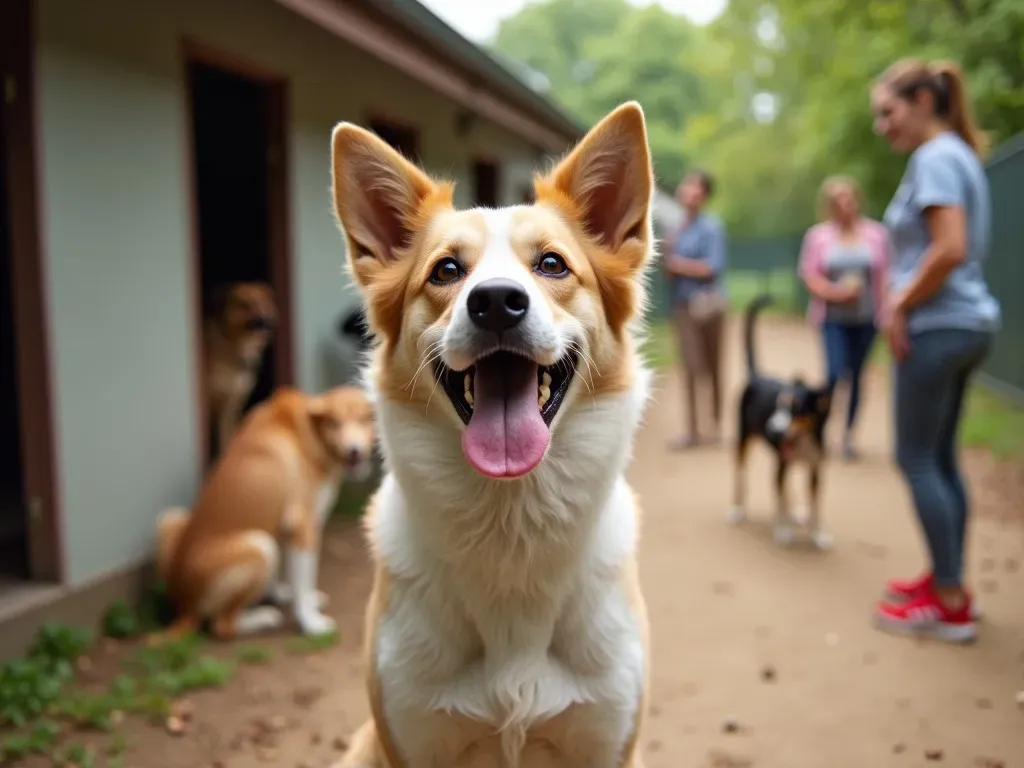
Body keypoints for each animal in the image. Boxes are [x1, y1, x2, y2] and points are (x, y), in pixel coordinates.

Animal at [151, 385, 376, 643]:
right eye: (335, 423)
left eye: (364, 419)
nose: (354, 451)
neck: (309, 432)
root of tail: (184, 609)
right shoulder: (303, 527)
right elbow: (303, 579)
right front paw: (311, 623)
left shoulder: (288, 529)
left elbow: (296, 578)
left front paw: (301, 597)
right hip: (259, 545)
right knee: (222, 626)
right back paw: (262, 618)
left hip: (171, 517)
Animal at [329, 103, 655, 768]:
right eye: (447, 270)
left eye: (552, 264)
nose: (497, 302)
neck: (512, 524)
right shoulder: (408, 742)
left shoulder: (611, 742)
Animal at [724, 292, 835, 548]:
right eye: (778, 406)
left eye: (796, 410)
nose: (774, 431)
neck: (805, 441)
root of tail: (757, 376)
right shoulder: (782, 464)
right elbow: (780, 498)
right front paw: (783, 531)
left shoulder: (815, 469)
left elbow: (814, 505)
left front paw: (818, 535)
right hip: (743, 441)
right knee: (741, 474)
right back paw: (737, 509)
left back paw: (797, 514)